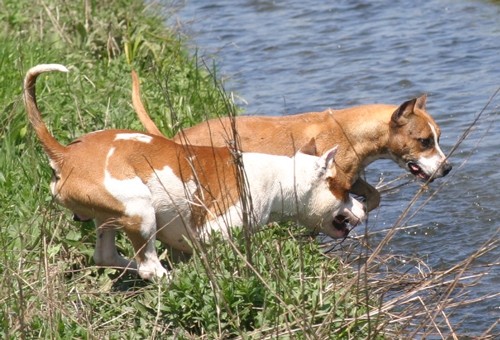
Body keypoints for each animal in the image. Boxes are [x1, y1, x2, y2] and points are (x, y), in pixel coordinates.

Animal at [24, 65, 368, 280]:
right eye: (345, 188)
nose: (364, 207)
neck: (278, 176)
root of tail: (66, 154)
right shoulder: (215, 231)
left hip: (107, 218)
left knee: (107, 256)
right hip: (139, 209)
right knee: (148, 266)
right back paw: (168, 279)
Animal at [133, 71, 454, 211]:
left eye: (438, 138)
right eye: (425, 141)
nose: (448, 168)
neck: (352, 132)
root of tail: (175, 138)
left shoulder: (351, 178)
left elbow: (374, 196)